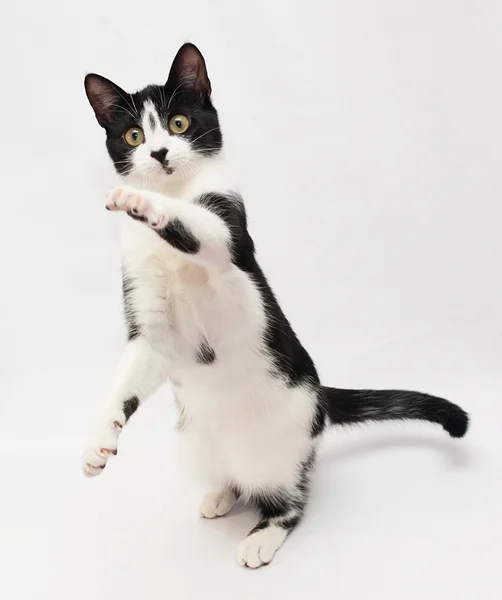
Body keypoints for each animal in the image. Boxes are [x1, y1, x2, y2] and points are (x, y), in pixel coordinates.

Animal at [83, 43, 470, 572]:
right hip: (195, 444)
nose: (159, 154)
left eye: (179, 123)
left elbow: (201, 227)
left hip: (280, 448)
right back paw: (221, 494)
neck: (176, 190)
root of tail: (321, 398)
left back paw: (264, 535)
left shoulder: (229, 245)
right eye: (134, 135)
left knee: (289, 497)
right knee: (231, 476)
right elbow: (127, 378)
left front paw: (141, 201)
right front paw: (99, 440)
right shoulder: (152, 325)